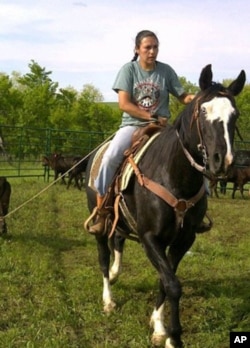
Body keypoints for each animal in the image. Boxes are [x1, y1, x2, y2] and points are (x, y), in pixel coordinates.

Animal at [84, 65, 246, 348]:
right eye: (204, 110)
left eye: (234, 114)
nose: (222, 161)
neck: (173, 174)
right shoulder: (151, 237)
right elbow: (172, 284)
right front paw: (173, 337)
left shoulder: (184, 240)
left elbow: (164, 280)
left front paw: (159, 327)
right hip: (100, 224)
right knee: (103, 256)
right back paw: (108, 299)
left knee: (118, 241)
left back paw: (116, 273)